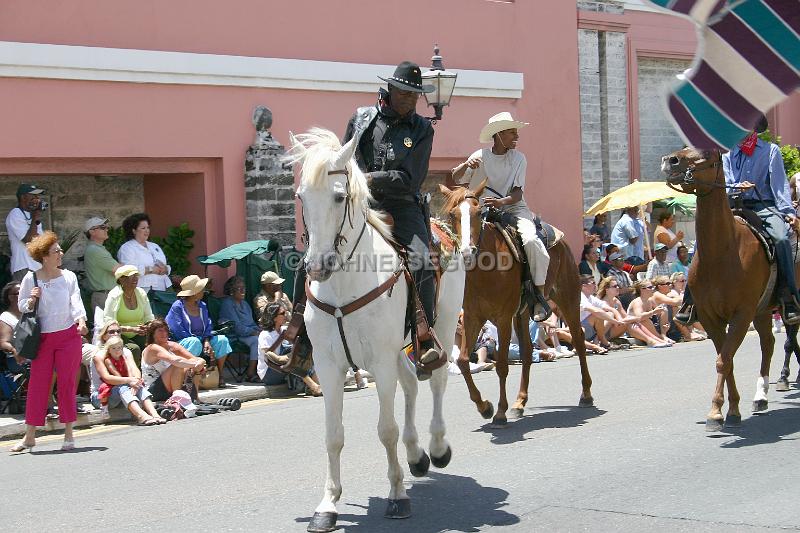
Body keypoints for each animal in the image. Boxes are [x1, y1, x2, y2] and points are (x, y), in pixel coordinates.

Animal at [288, 127, 466, 528]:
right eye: (301, 197)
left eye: (339, 196)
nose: (317, 266)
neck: (344, 285)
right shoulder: (329, 365)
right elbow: (333, 435)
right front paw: (328, 505)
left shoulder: (381, 361)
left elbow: (386, 430)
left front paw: (397, 496)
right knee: (411, 383)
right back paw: (416, 455)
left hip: (444, 326)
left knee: (437, 381)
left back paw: (436, 447)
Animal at [440, 181, 592, 426]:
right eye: (453, 214)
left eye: (478, 212)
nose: (467, 252)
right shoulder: (473, 317)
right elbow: (463, 361)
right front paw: (485, 407)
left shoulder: (502, 318)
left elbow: (502, 365)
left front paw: (500, 412)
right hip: (521, 313)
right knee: (528, 352)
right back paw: (519, 403)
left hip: (567, 297)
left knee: (578, 339)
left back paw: (586, 394)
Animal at [660, 148, 796, 430]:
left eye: (710, 156)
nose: (671, 160)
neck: (721, 252)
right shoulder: (711, 317)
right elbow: (727, 359)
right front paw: (728, 410)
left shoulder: (741, 315)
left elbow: (724, 359)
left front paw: (717, 412)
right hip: (762, 311)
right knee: (768, 343)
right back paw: (761, 396)